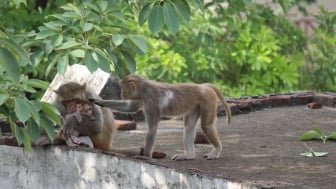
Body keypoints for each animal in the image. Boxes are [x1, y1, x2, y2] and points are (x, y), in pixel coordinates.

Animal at [92, 74, 234, 160]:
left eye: (123, 88)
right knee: (189, 128)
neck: (144, 89)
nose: (121, 94)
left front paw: (145, 156)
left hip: (207, 99)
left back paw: (217, 150)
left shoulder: (150, 103)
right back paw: (188, 156)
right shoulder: (141, 98)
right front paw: (99, 102)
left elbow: (152, 129)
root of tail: (203, 87)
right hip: (196, 104)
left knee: (206, 125)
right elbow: (130, 107)